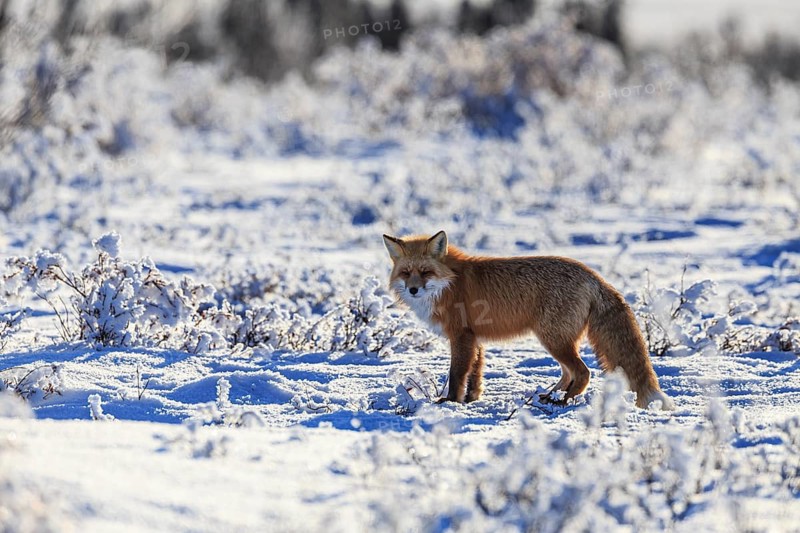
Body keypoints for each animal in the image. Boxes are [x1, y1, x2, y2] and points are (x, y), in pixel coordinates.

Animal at [383, 230, 674, 410]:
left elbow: (457, 374)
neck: (450, 283)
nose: (413, 290)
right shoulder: (475, 338)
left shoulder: (461, 335)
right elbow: (475, 373)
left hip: (553, 339)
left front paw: (451, 402)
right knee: (568, 372)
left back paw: (562, 400)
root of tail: (593, 276)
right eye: (406, 273)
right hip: (556, 340)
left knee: (583, 372)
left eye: (425, 272)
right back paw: (550, 395)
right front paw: (471, 399)